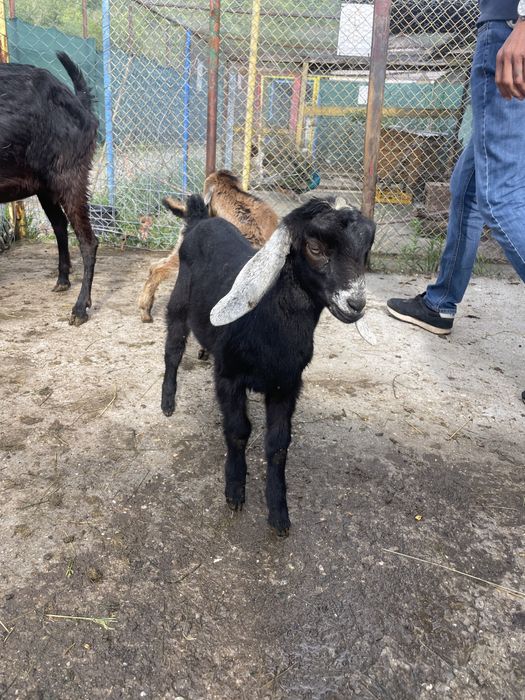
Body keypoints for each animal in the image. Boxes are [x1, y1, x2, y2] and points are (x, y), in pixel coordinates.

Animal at [0, 52, 99, 325]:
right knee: (60, 226)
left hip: (70, 179)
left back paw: (80, 307)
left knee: (89, 241)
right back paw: (63, 279)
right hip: (45, 188)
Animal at [161, 194, 375, 536]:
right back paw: (167, 401)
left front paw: (278, 512)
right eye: (315, 248)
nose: (355, 305)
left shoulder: (286, 386)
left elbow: (278, 445)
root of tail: (199, 220)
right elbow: (238, 431)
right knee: (173, 349)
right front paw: (235, 490)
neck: (267, 322)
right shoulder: (229, 376)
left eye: (365, 250)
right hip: (179, 301)